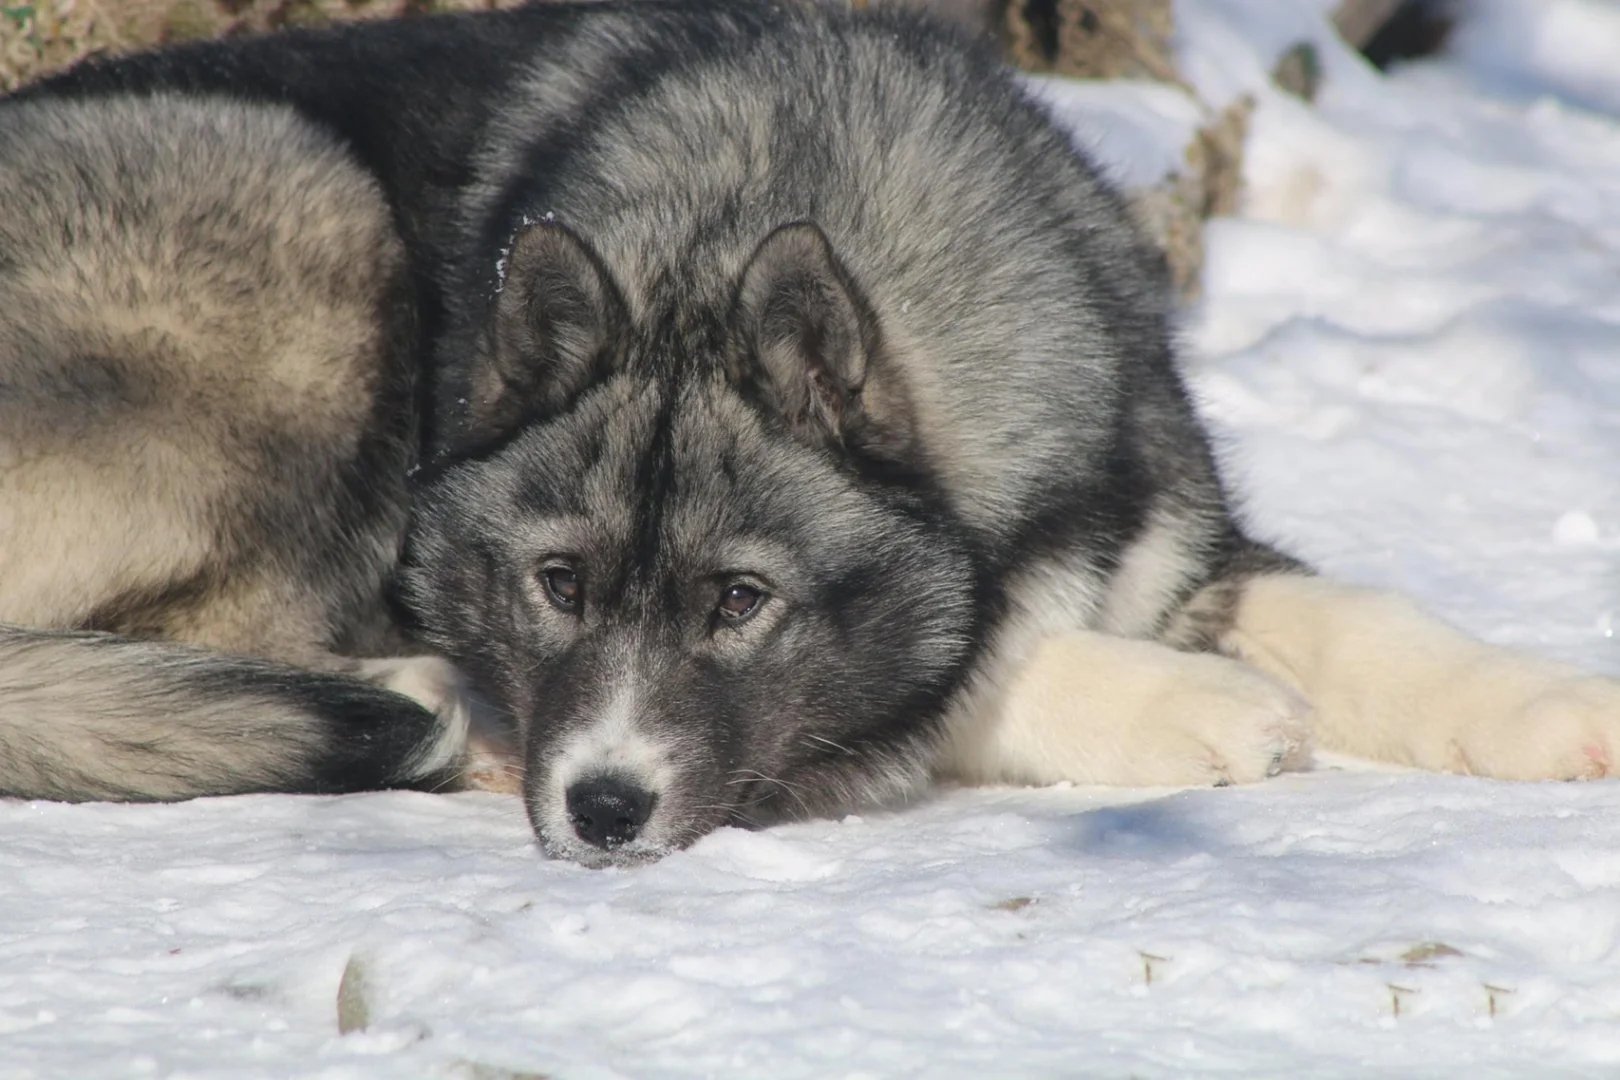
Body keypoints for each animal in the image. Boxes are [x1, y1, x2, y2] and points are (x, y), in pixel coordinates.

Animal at [3, 0, 1620, 861]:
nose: (598, 811)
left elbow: (1369, 622)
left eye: (739, 601)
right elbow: (963, 665)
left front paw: (1555, 709)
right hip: (309, 228)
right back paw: (426, 700)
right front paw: (1199, 705)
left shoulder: (1181, 551)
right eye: (559, 584)